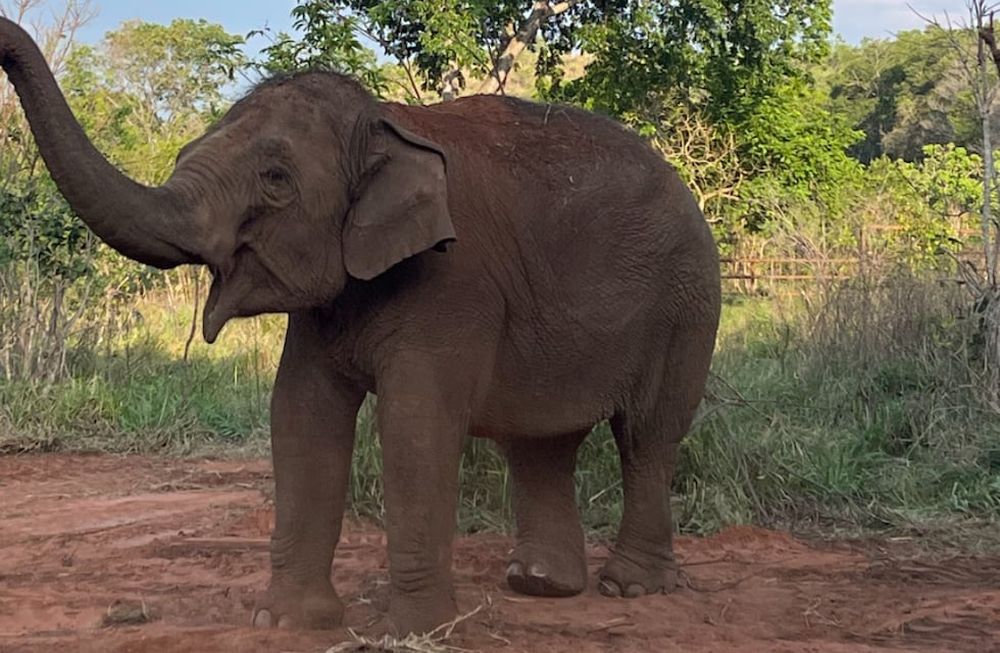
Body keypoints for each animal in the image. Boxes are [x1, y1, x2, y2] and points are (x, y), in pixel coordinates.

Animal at [0, 17, 720, 635]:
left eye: (276, 178)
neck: (386, 123)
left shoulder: (454, 282)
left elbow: (414, 424)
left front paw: (414, 631)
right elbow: (300, 414)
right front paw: (284, 622)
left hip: (687, 304)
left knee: (647, 435)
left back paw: (629, 586)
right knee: (543, 442)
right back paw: (540, 584)